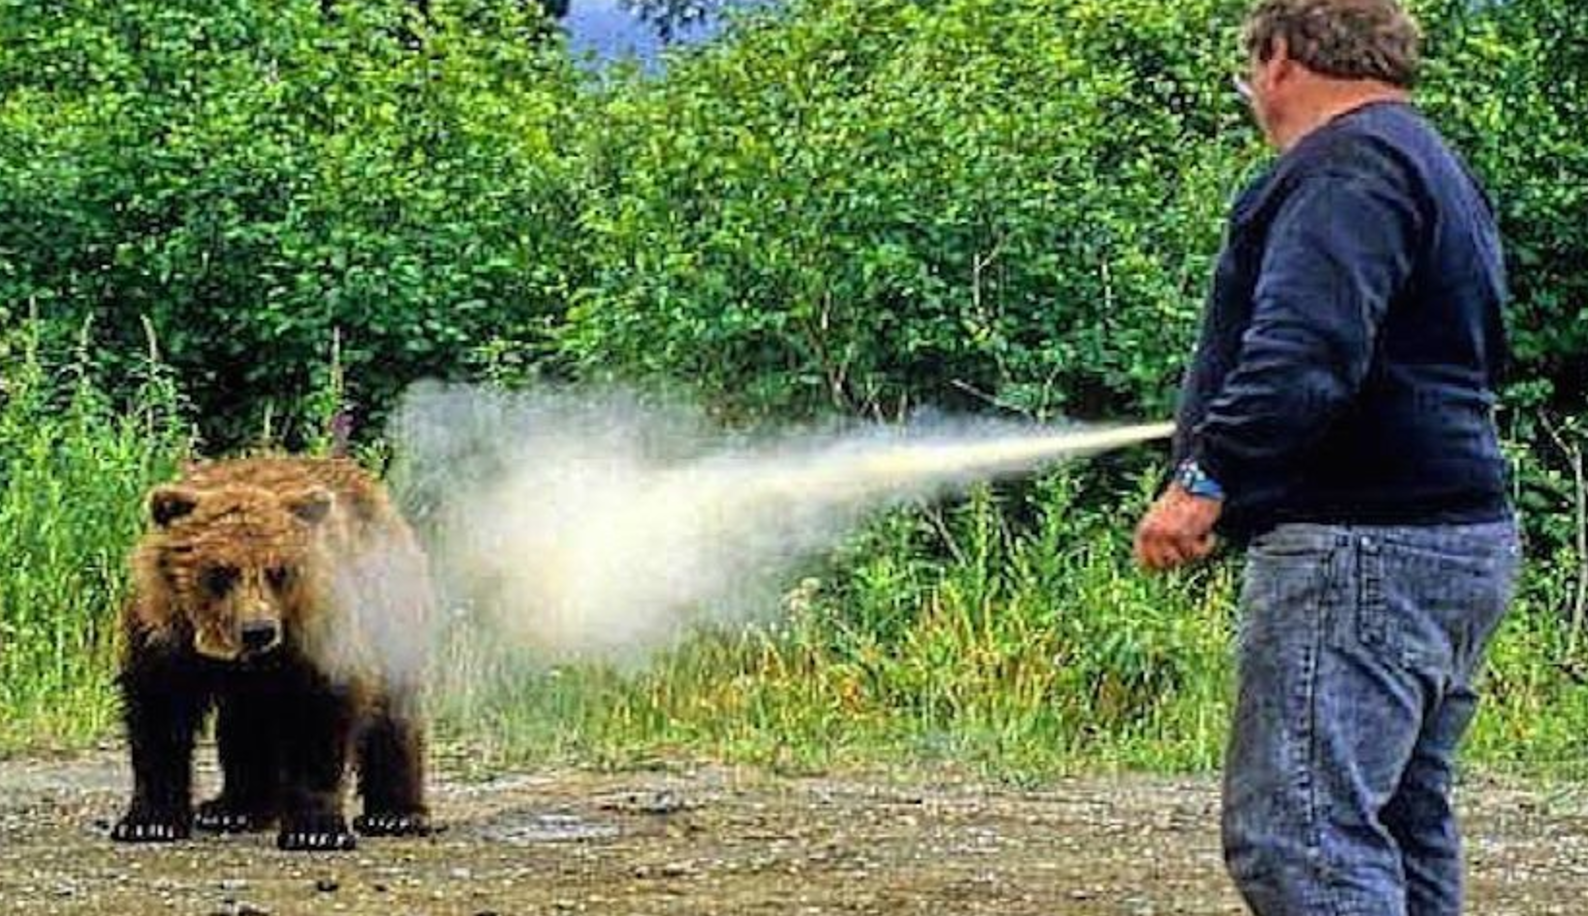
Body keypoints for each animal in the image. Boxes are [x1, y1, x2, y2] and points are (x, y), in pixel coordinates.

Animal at [111, 456, 433, 851]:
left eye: (279, 570)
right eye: (221, 571)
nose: (258, 630)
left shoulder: (320, 636)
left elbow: (321, 717)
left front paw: (315, 830)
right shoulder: (164, 633)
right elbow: (159, 719)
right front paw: (148, 822)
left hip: (388, 607)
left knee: (394, 709)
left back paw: (396, 814)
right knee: (247, 723)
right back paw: (232, 809)